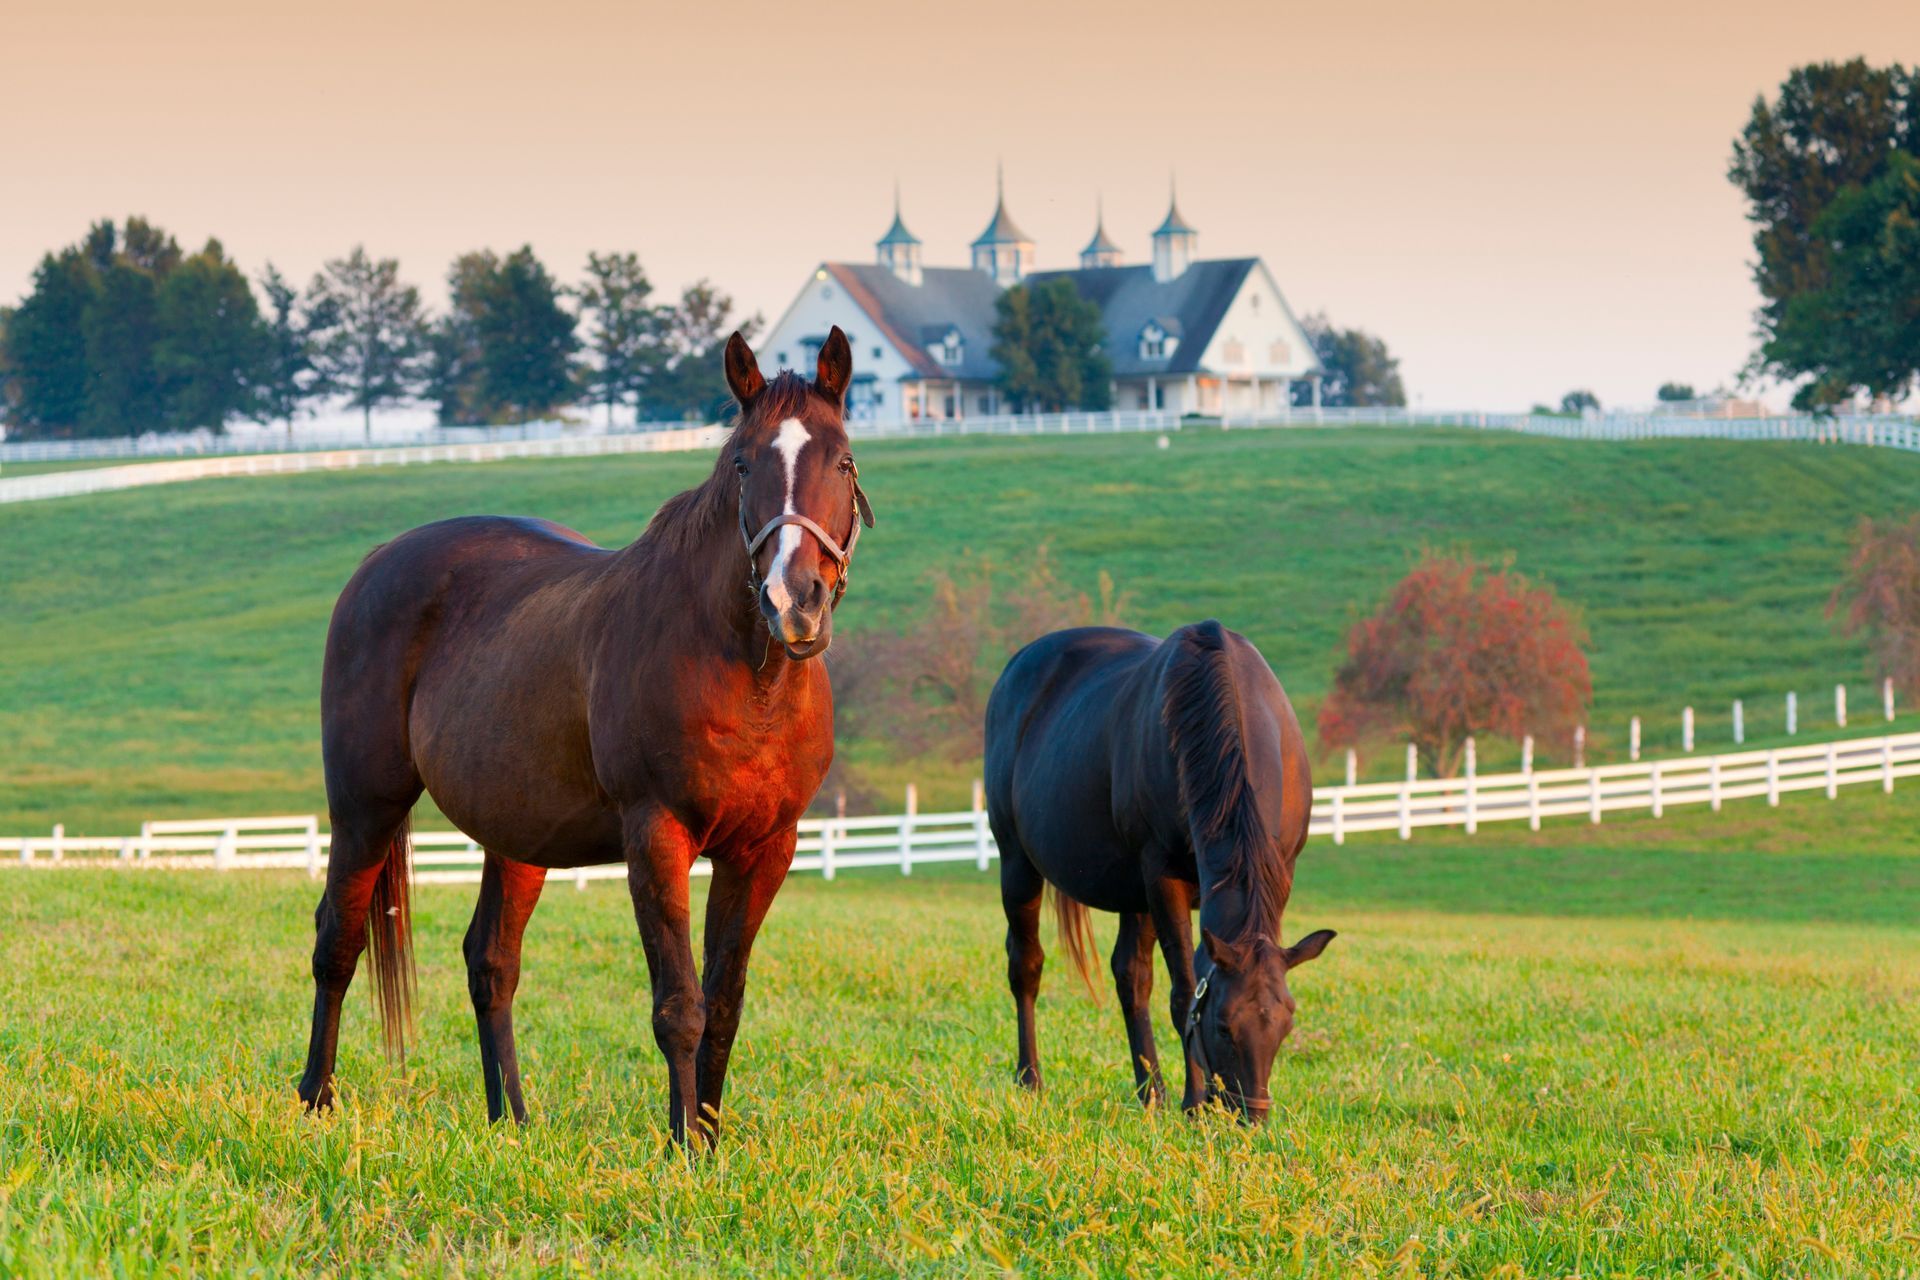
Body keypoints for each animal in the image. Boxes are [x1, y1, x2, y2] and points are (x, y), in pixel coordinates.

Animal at [295, 327, 875, 1146]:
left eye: (843, 460)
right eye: (742, 462)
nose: (794, 601)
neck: (744, 675)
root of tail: (378, 563)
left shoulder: (765, 850)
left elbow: (724, 1004)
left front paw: (709, 1140)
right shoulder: (657, 836)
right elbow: (680, 1005)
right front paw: (682, 1149)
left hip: (516, 834)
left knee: (491, 962)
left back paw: (510, 1120)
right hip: (364, 808)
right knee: (337, 942)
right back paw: (316, 1099)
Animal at [983, 620, 1335, 1120]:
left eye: (1285, 1023)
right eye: (1223, 1026)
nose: (1250, 1116)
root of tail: (1017, 666)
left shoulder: (1277, 874)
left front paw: (1184, 1097)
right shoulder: (1162, 877)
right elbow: (1184, 992)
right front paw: (1194, 1102)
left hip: (1132, 892)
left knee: (1130, 977)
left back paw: (1151, 1092)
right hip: (1018, 863)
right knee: (1025, 965)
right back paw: (1030, 1078)